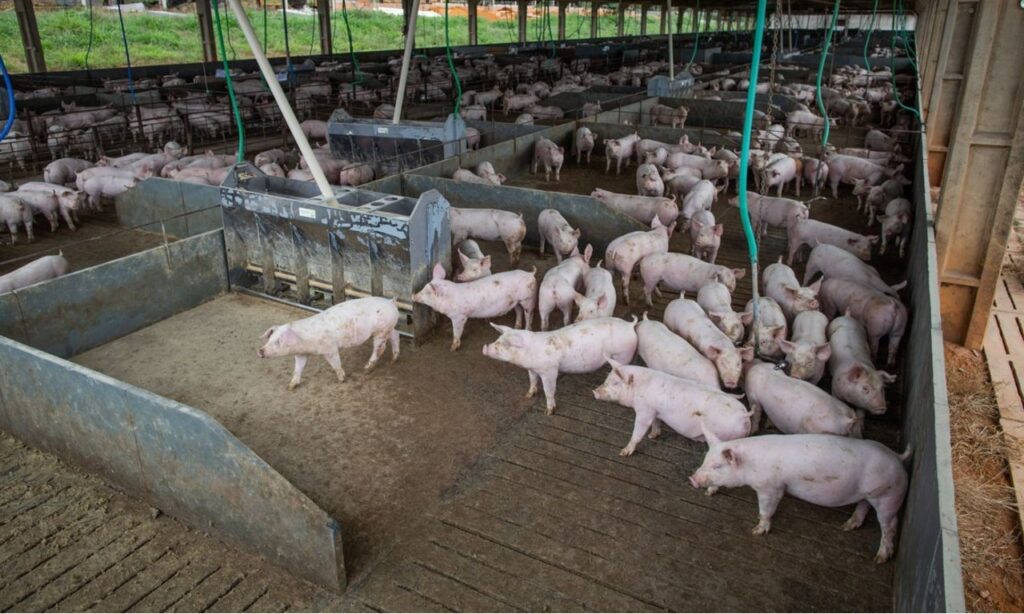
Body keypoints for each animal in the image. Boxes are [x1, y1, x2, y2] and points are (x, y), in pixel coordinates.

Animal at [256, 294, 399, 388]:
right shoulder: (301, 354)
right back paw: (393, 360)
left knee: (380, 348)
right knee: (396, 335)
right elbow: (298, 368)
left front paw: (341, 380)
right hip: (388, 328)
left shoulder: (330, 348)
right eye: (270, 339)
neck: (304, 343)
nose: (260, 350)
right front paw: (290, 386)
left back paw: (366, 369)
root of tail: (390, 302)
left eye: (278, 341)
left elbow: (335, 364)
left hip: (381, 331)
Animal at [481, 317, 638, 413]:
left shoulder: (549, 371)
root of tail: (629, 325)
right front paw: (528, 395)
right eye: (498, 339)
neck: (530, 353)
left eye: (506, 344)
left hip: (623, 355)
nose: (485, 347)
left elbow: (548, 390)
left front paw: (549, 412)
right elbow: (532, 381)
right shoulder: (532, 369)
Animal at [593, 360, 753, 456]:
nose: (594, 391)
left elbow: (638, 431)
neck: (639, 387)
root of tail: (743, 415)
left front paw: (623, 452)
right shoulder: (655, 411)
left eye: (615, 383)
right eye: (607, 379)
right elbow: (656, 423)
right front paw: (653, 436)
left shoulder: (645, 410)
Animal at [684, 427, 909, 560]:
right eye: (705, 460)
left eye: (718, 466)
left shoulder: (771, 487)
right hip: (870, 494)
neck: (749, 465)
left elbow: (766, 510)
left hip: (888, 497)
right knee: (864, 506)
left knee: (890, 524)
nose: (692, 479)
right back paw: (847, 526)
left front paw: (756, 531)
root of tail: (897, 458)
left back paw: (880, 558)